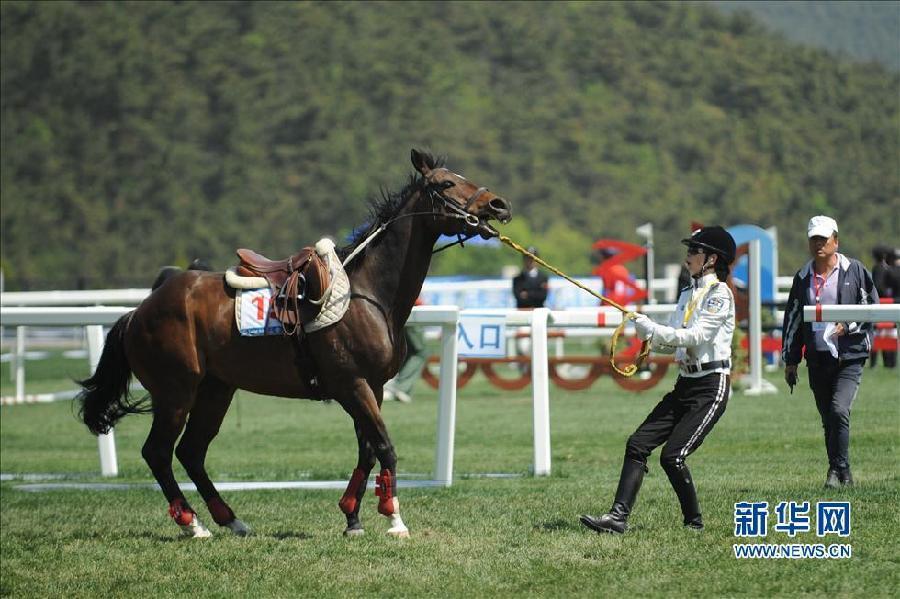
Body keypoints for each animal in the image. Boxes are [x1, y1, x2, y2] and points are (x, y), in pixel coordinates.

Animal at [75, 150, 512, 540]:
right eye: (446, 183)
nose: (499, 204)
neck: (367, 295)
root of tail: (139, 311)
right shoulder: (353, 386)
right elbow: (385, 447)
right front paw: (393, 519)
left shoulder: (372, 388)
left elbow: (368, 450)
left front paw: (352, 517)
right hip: (175, 394)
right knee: (158, 453)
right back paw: (192, 524)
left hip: (215, 391)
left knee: (190, 453)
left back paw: (230, 520)